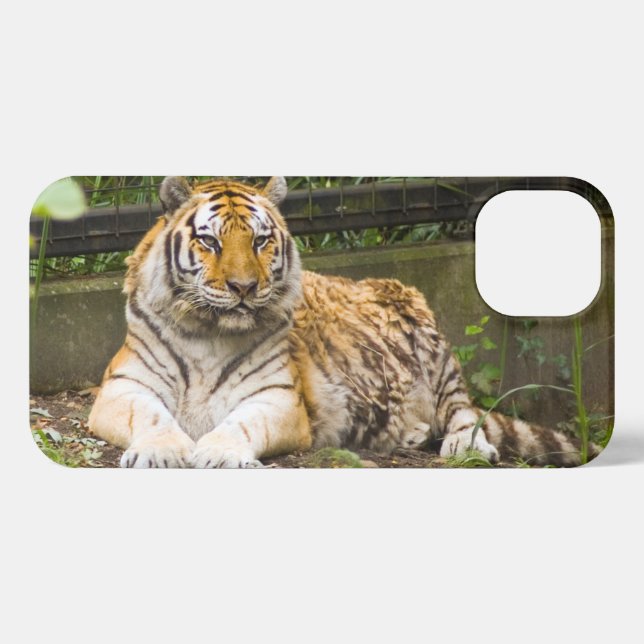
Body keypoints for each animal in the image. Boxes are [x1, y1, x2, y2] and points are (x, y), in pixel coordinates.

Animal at [88, 176, 598, 468]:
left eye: (259, 241)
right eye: (210, 242)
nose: (243, 288)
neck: (209, 334)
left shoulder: (278, 398)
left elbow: (241, 425)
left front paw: (218, 454)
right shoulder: (122, 387)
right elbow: (150, 416)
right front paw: (161, 451)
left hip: (433, 346)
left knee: (463, 412)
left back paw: (463, 446)